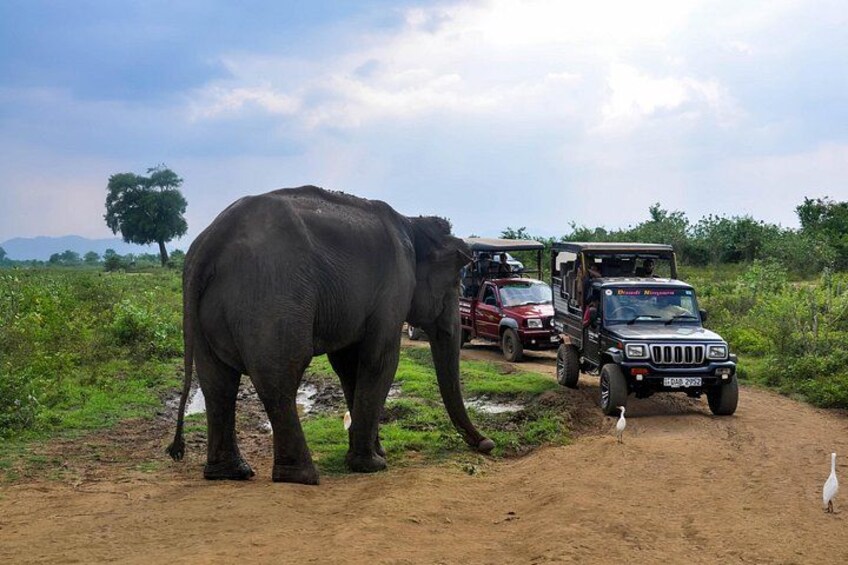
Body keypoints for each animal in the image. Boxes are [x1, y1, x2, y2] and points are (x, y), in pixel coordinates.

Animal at [167, 185, 495, 484]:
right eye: (455, 284)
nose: (487, 445)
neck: (412, 223)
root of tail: (210, 241)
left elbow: (349, 365)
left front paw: (377, 454)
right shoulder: (394, 287)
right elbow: (380, 359)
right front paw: (372, 465)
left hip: (207, 311)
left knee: (217, 382)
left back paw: (231, 473)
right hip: (272, 296)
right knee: (280, 374)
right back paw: (301, 476)